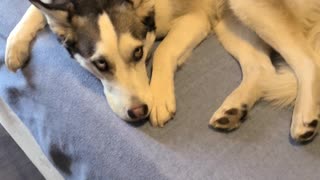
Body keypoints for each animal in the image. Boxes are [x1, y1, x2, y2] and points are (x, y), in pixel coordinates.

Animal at [4, 0, 320, 143]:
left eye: (138, 53)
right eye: (101, 64)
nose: (138, 112)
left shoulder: (197, 17)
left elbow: (164, 50)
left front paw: (159, 98)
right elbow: (36, 10)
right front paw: (15, 43)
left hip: (249, 7)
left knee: (307, 62)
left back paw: (304, 119)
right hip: (229, 21)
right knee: (261, 69)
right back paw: (234, 109)